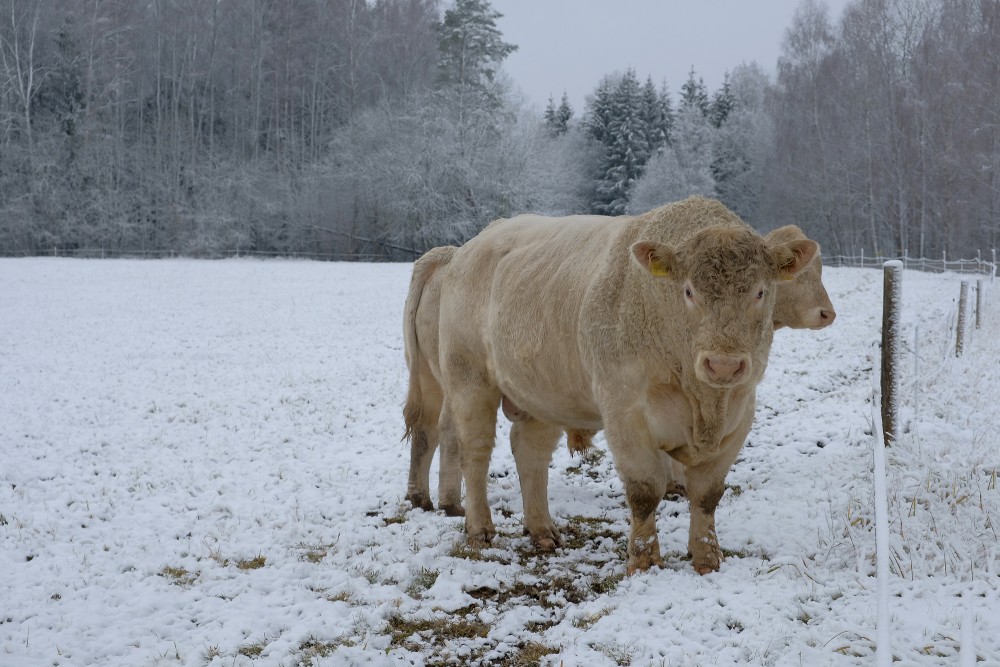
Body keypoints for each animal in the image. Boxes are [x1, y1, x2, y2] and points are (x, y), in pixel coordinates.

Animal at [402, 197, 816, 576]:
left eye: (760, 291)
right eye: (688, 291)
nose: (724, 364)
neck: (705, 403)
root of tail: (466, 248)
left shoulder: (740, 415)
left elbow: (707, 495)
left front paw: (707, 559)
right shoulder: (625, 412)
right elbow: (645, 492)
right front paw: (644, 562)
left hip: (542, 391)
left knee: (530, 453)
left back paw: (541, 530)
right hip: (468, 379)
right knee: (473, 451)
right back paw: (478, 528)